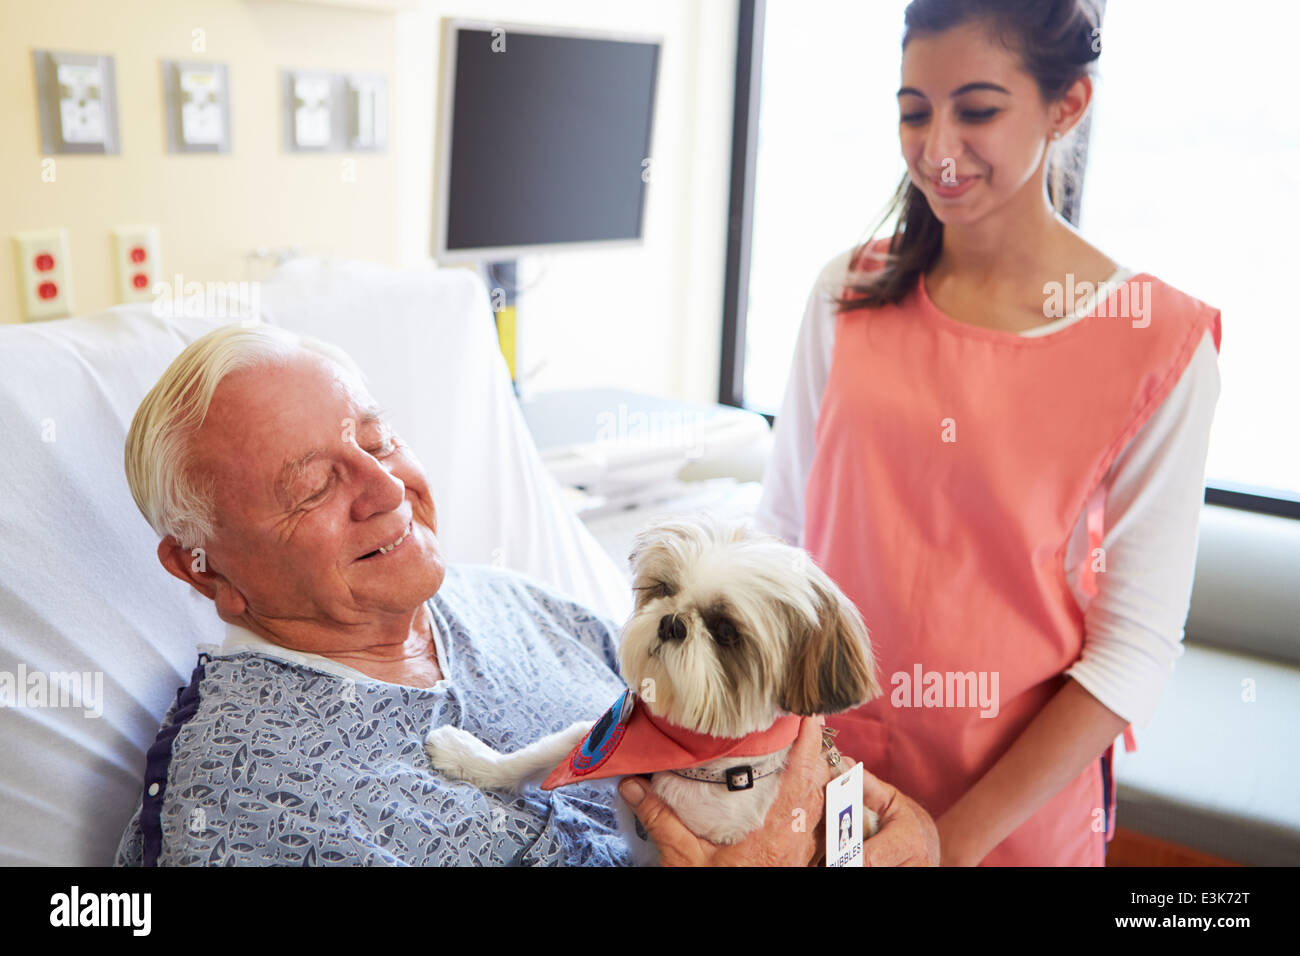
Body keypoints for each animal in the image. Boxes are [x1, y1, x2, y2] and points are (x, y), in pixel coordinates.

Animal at [426, 520, 883, 863]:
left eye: (725, 631)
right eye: (665, 589)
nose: (673, 622)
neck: (689, 752)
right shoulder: (598, 742)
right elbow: (533, 758)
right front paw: (467, 758)